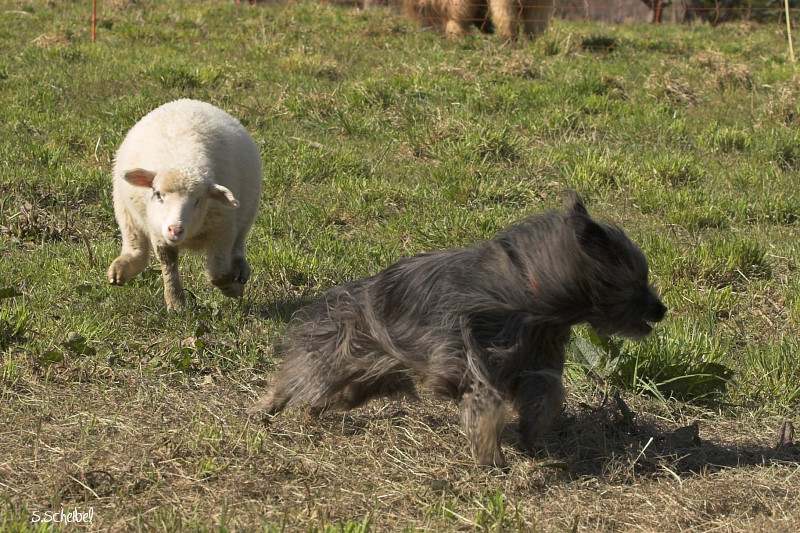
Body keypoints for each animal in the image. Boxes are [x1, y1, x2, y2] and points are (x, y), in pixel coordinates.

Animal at [106, 98, 260, 312]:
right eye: (158, 194)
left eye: (198, 200)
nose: (175, 229)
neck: (182, 158)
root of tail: (186, 101)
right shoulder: (157, 230)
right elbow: (168, 262)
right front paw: (176, 302)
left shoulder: (223, 228)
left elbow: (217, 273)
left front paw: (231, 288)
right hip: (124, 210)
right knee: (136, 246)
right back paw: (121, 269)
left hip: (246, 213)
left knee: (238, 245)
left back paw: (240, 270)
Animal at [252, 192, 668, 466]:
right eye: (637, 283)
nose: (662, 310)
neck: (532, 293)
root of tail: (338, 297)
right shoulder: (469, 356)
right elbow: (483, 400)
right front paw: (491, 454)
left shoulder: (536, 357)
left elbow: (546, 391)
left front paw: (531, 434)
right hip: (339, 353)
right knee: (295, 378)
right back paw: (266, 409)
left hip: (370, 375)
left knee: (335, 392)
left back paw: (316, 409)